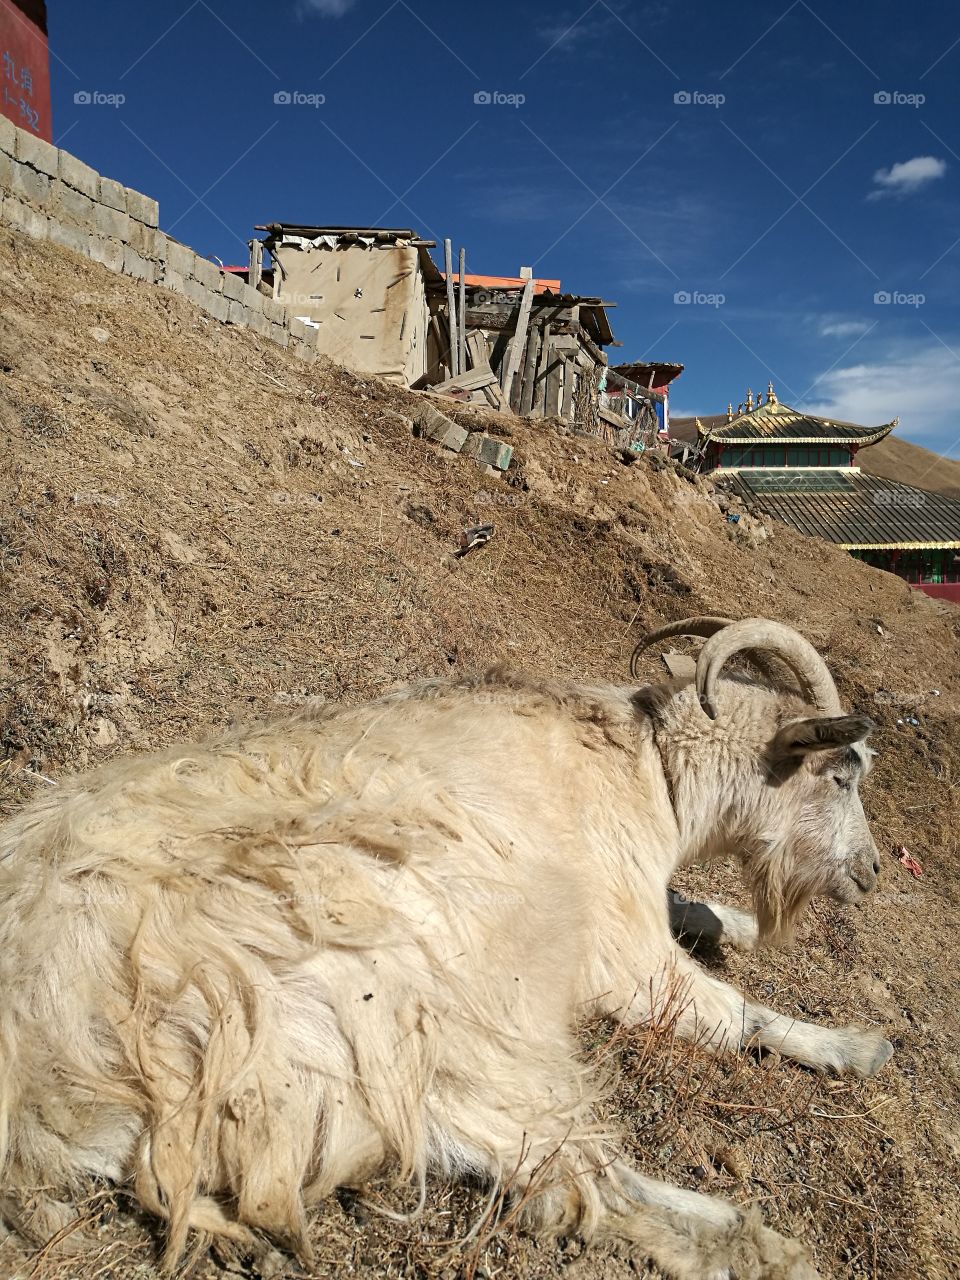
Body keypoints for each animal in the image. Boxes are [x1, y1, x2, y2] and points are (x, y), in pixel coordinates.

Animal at [0, 616, 890, 1269]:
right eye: (840, 773)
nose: (873, 873)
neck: (645, 773)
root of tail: (43, 1099)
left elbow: (696, 910)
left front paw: (737, 926)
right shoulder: (623, 951)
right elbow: (733, 1014)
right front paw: (855, 1045)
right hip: (400, 1011)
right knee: (577, 1182)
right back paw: (758, 1247)